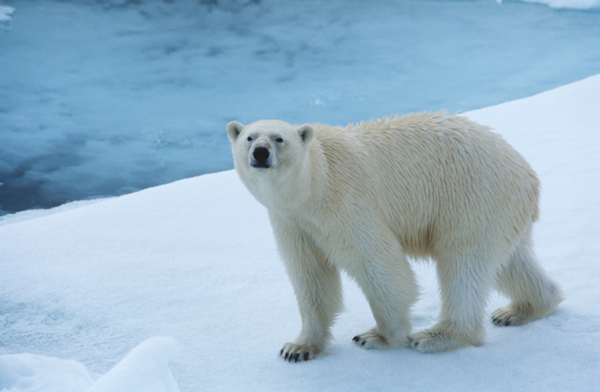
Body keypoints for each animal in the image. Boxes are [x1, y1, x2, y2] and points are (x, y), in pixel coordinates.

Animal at [225, 112, 564, 362]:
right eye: (249, 137)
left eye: (279, 138)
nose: (260, 152)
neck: (315, 183)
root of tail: (527, 175)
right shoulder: (293, 222)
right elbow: (310, 275)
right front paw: (299, 347)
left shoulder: (345, 205)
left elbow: (378, 263)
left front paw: (378, 336)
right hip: (500, 211)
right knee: (509, 262)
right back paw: (521, 309)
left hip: (471, 198)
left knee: (464, 264)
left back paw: (437, 336)